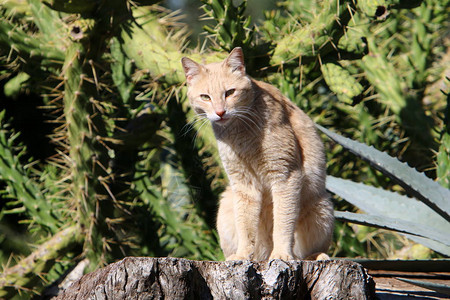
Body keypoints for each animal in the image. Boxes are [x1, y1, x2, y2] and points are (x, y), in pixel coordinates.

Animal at [181, 47, 332, 260]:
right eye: (205, 97)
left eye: (230, 93)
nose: (220, 112)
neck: (240, 133)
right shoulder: (244, 183)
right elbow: (245, 225)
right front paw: (243, 255)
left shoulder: (285, 176)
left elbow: (283, 222)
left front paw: (281, 254)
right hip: (227, 204)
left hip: (321, 209)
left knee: (306, 252)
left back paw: (313, 256)